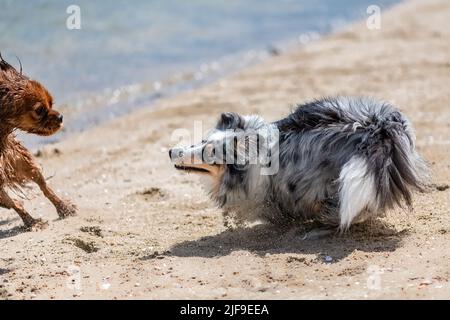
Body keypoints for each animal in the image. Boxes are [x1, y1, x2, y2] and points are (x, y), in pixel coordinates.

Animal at [0, 55, 76, 230]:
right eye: (39, 110)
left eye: (51, 103)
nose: (61, 117)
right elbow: (14, 203)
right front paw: (30, 221)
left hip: (21, 159)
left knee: (43, 185)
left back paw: (63, 208)